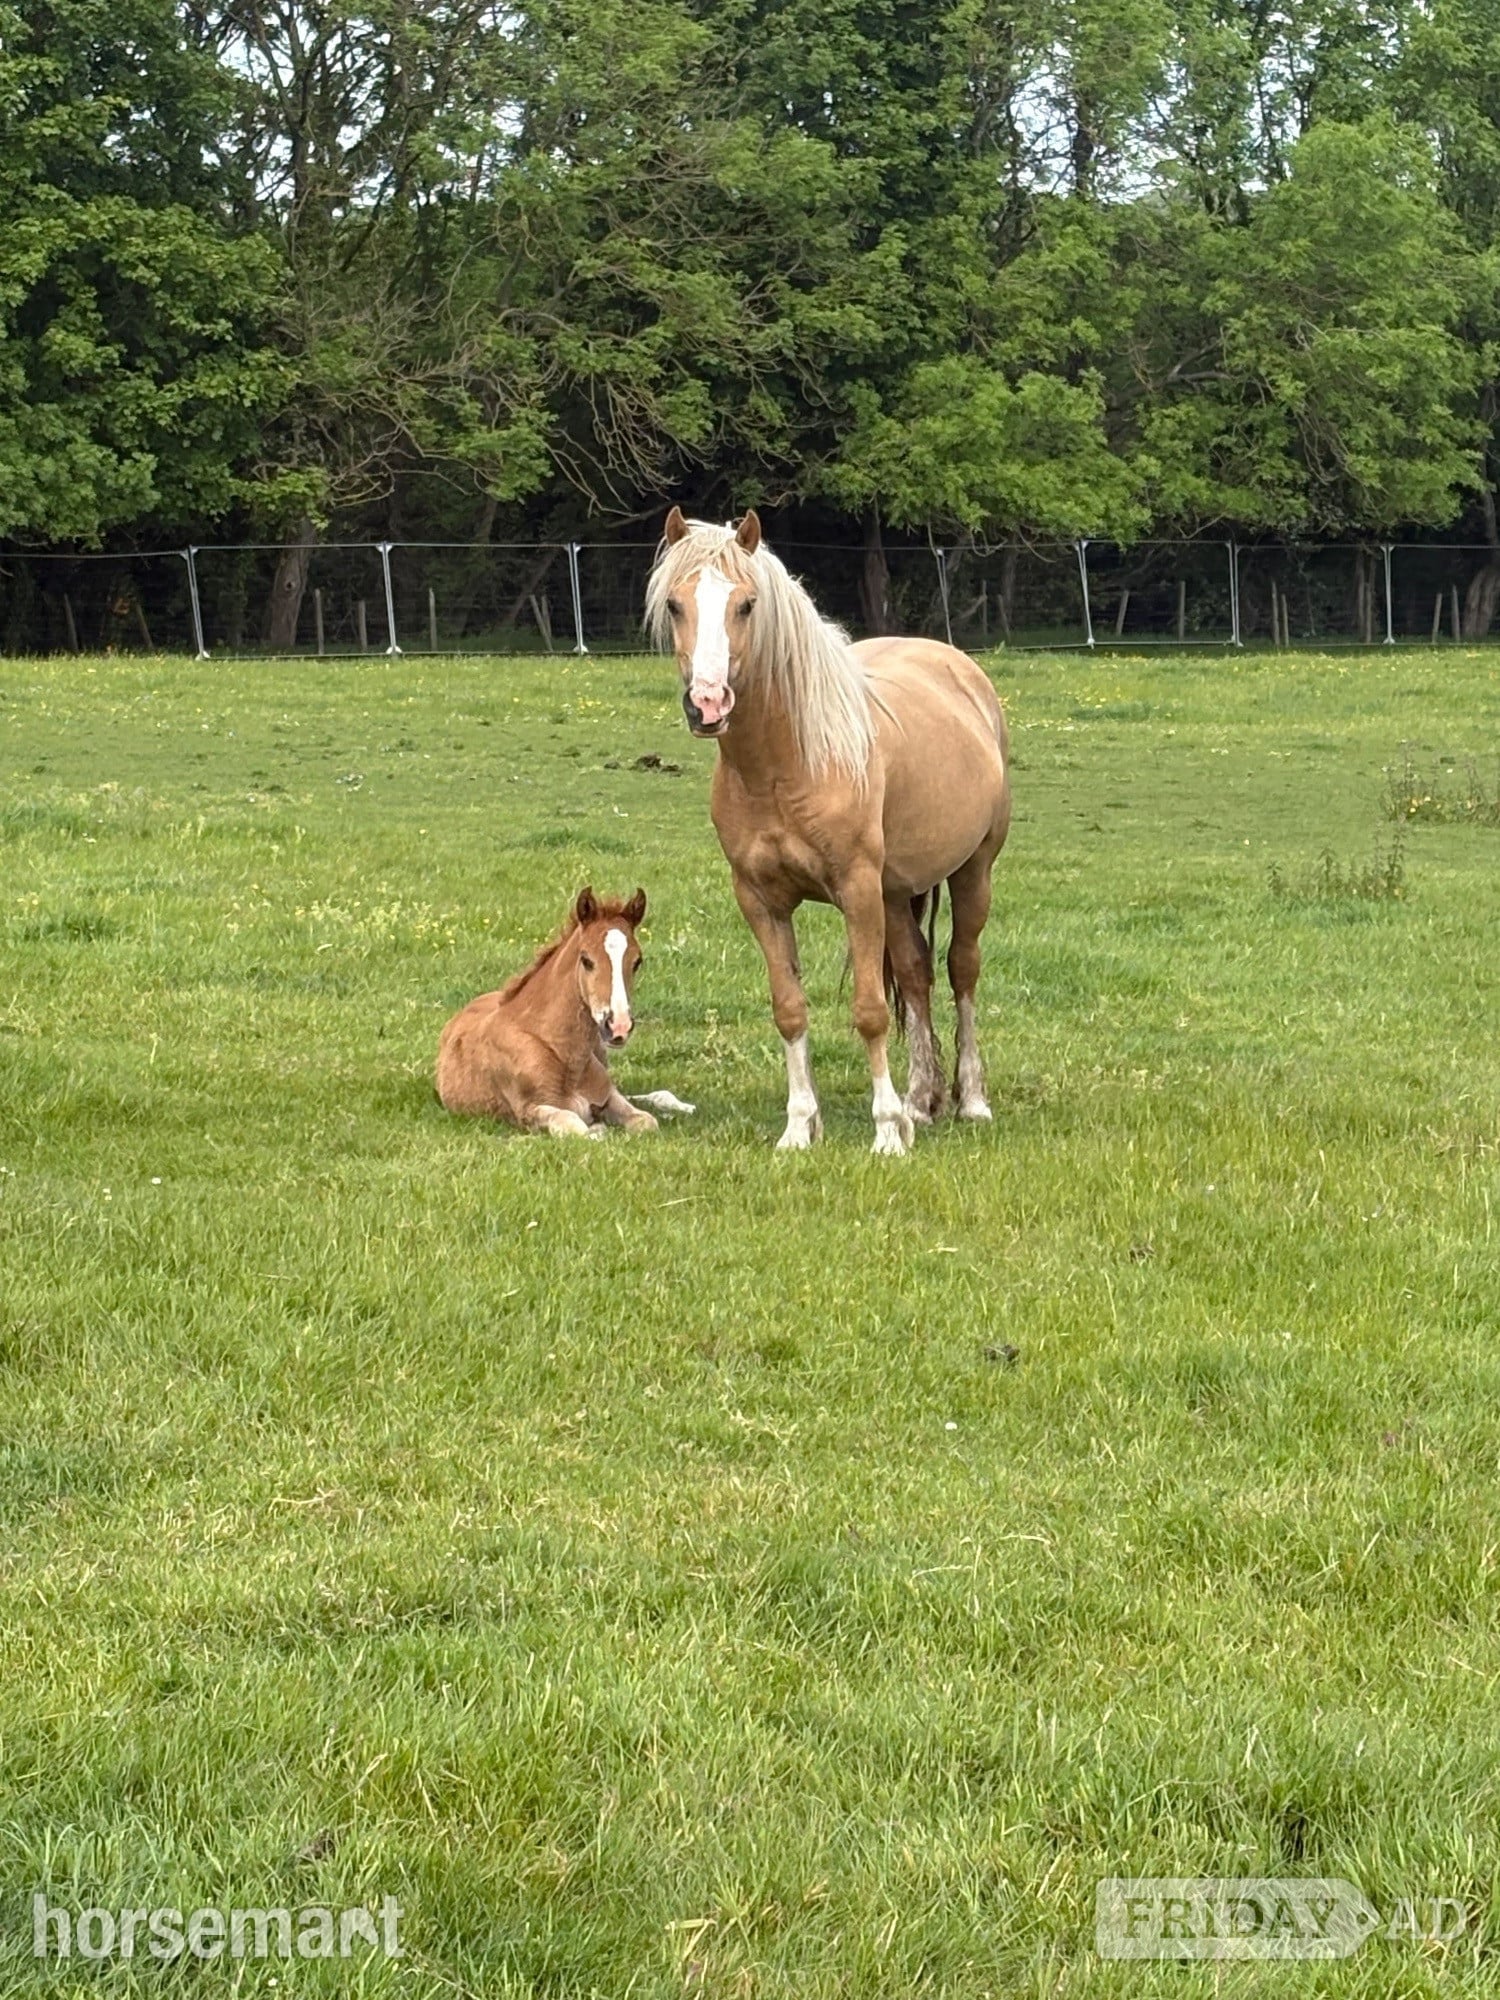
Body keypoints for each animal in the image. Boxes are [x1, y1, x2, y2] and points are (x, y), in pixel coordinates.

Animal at [436, 886, 695, 1138]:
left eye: (637, 961)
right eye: (586, 960)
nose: (619, 1026)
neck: (564, 1055)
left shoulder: (608, 1096)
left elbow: (646, 1121)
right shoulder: (528, 1110)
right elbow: (576, 1125)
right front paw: (598, 1128)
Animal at [646, 509, 1010, 1155]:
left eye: (747, 604)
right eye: (674, 604)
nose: (707, 704)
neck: (783, 766)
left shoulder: (857, 890)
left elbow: (870, 1010)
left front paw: (885, 1134)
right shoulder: (760, 901)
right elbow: (790, 1009)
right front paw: (800, 1126)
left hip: (972, 873)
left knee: (961, 969)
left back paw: (970, 1100)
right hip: (895, 895)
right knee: (916, 974)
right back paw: (921, 1101)